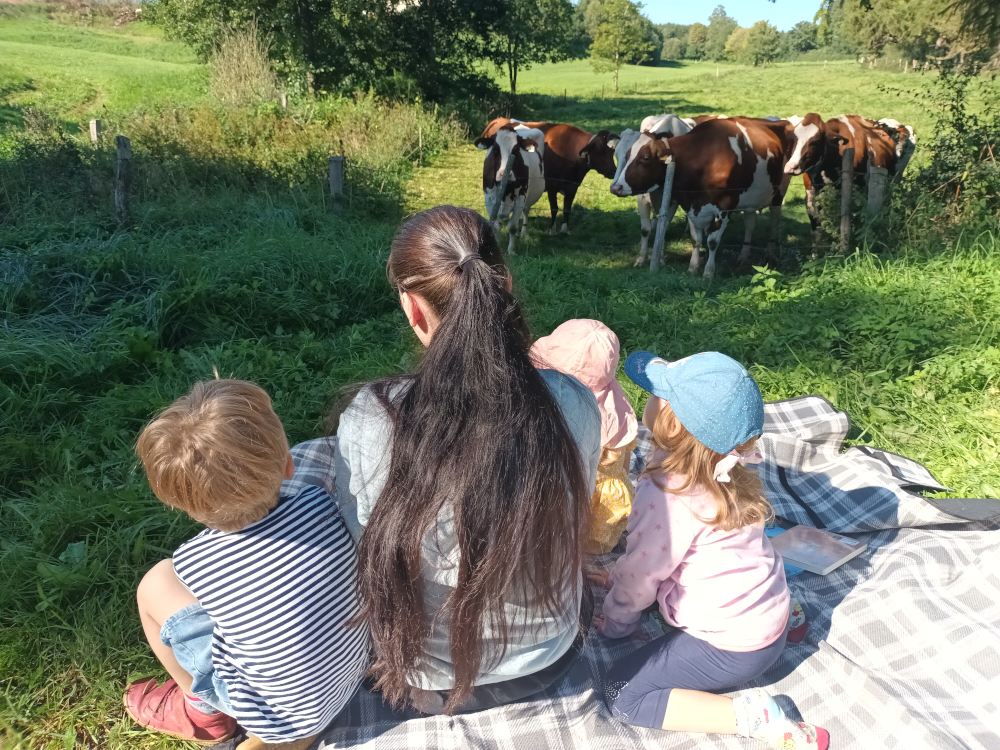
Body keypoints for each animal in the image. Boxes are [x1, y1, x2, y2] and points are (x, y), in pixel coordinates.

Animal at [472, 126, 544, 256]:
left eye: (516, 151)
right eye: (495, 150)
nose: (504, 174)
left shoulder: (520, 198)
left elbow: (512, 227)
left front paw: (511, 250)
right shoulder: (489, 198)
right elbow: (495, 227)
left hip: (529, 197)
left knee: (526, 211)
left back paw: (523, 232)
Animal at [480, 117, 620, 234]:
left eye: (613, 151)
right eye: (601, 151)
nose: (614, 171)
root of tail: (502, 119)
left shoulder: (572, 187)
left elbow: (567, 209)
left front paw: (564, 230)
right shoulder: (552, 186)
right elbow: (555, 208)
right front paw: (552, 230)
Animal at [612, 116, 832, 280]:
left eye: (645, 158)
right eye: (624, 155)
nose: (616, 187)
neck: (704, 157)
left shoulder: (725, 206)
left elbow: (712, 241)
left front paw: (708, 272)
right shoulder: (690, 204)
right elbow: (696, 239)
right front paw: (693, 267)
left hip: (778, 192)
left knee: (774, 221)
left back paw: (770, 254)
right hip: (751, 197)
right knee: (750, 223)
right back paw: (743, 256)